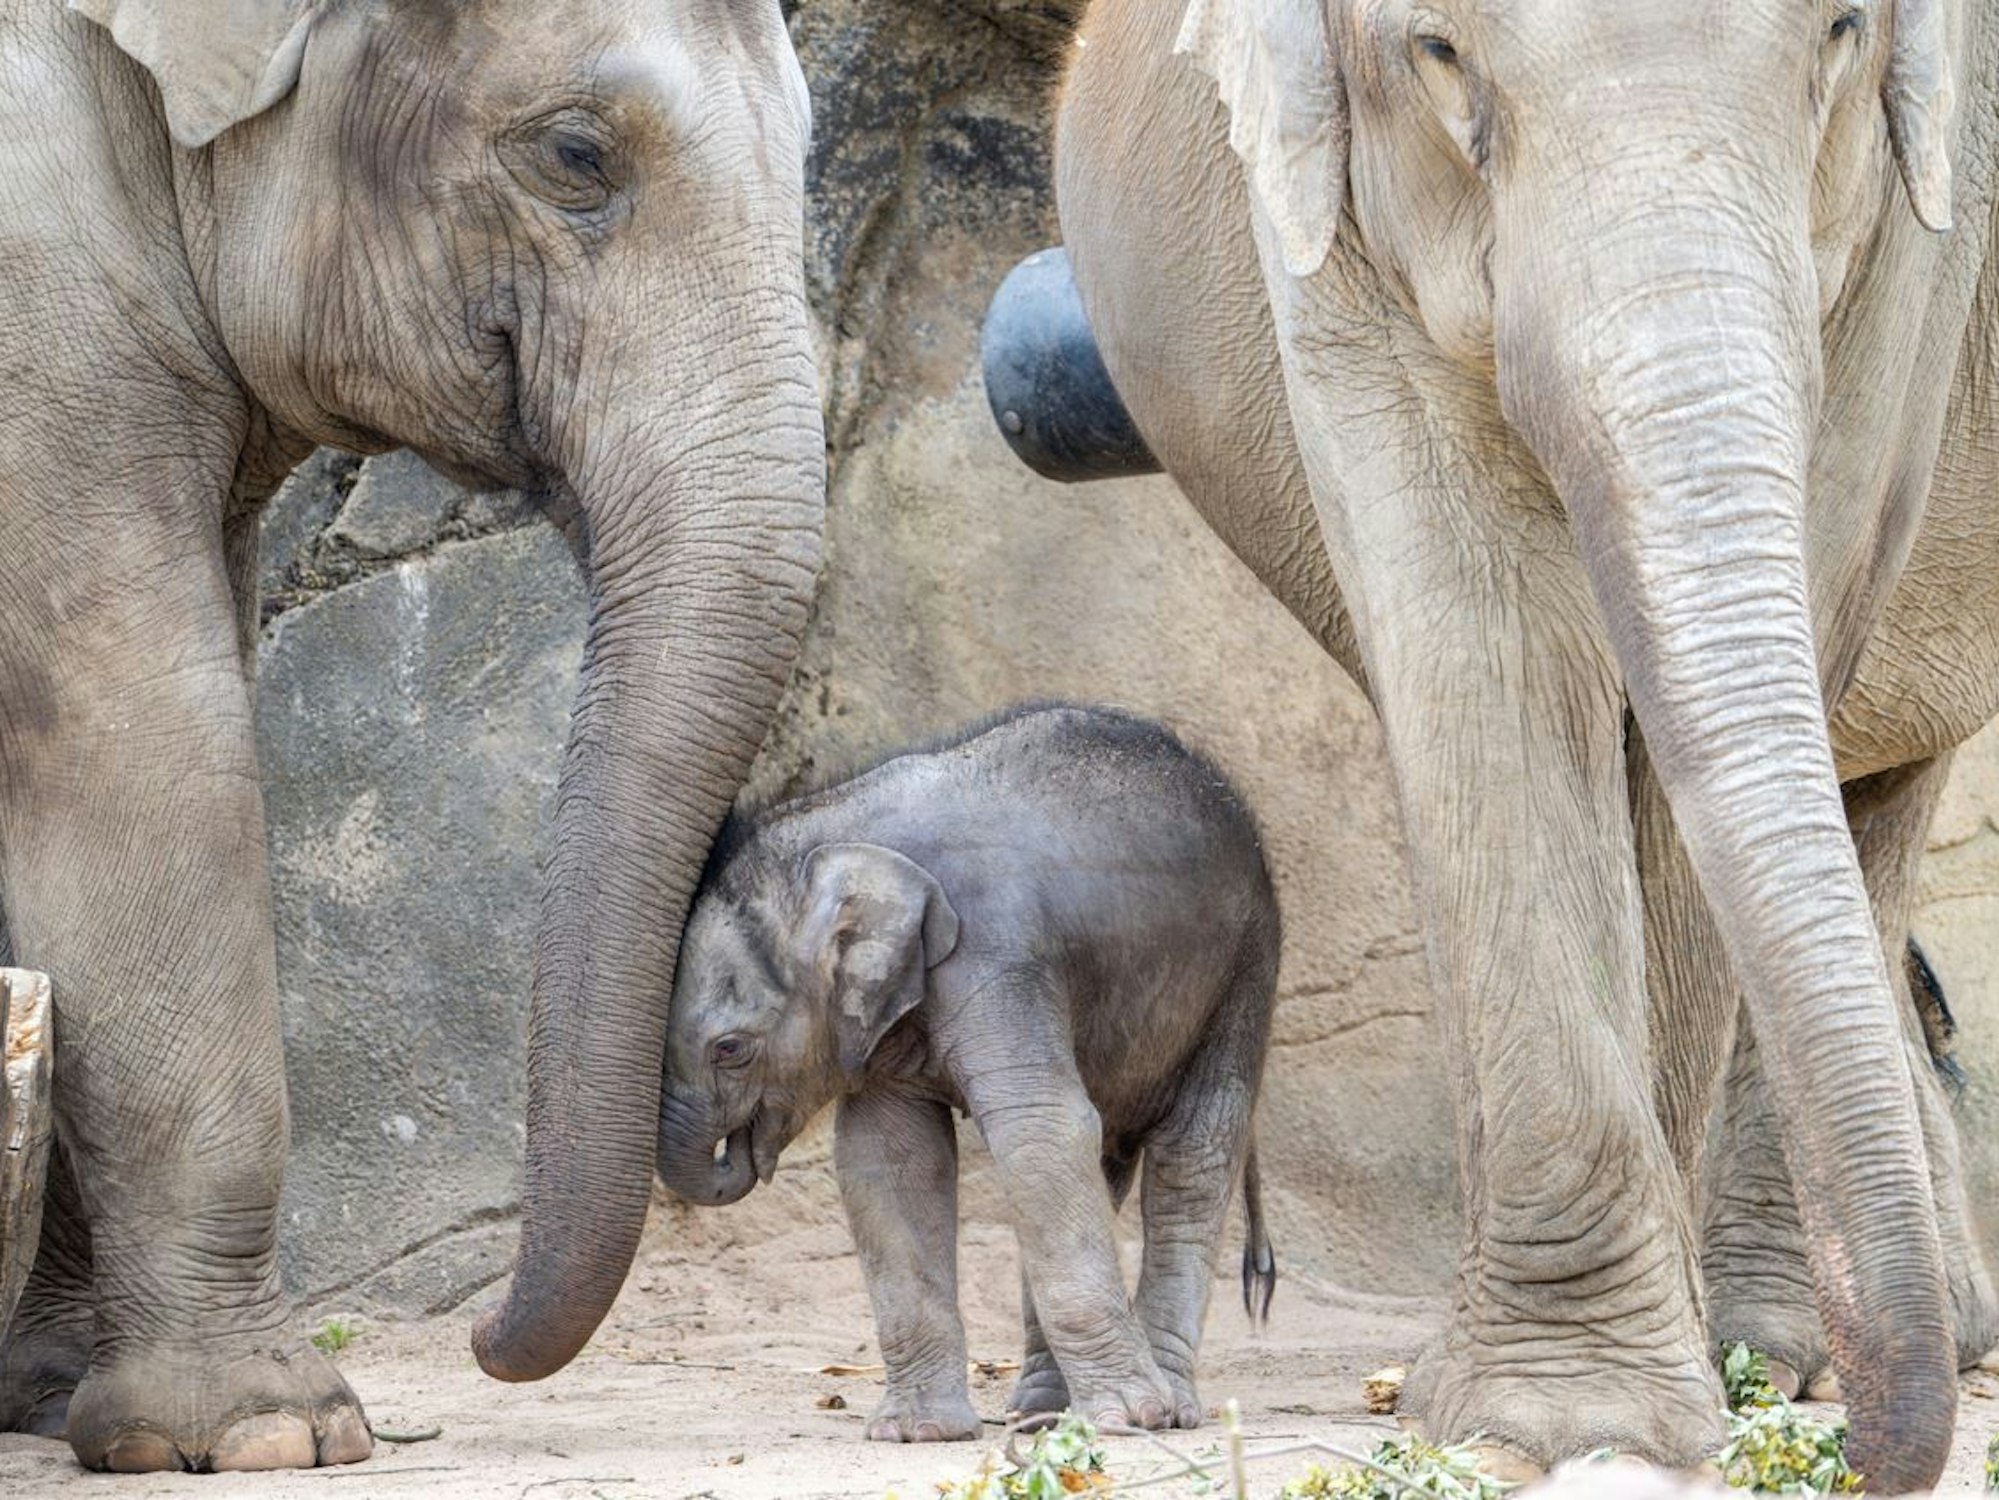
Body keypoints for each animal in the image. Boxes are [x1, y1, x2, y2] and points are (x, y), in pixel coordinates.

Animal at [0, 0, 822, 1473]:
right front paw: (265, 1433)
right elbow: (144, 740)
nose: (483, 1340)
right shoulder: (33, 316)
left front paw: (59, 1398)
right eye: (575, 155)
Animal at [653, 705, 1279, 1441]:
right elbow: (889, 1160)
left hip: (1246, 967)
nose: (736, 1155)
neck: (844, 831)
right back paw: (1043, 1414)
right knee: (1099, 1156)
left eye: (730, 1048)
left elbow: (1040, 1128)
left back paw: (1165, 1410)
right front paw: (917, 1433)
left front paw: (1130, 1420)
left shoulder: (996, 954)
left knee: (1191, 1155)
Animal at [1045, 0, 1999, 1490]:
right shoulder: (1333, 224)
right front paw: (1560, 1420)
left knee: (1873, 800)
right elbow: (1483, 645)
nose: (1863, 1453)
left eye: (1842, 31)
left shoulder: (1917, 238)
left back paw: (1782, 1347)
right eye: (1436, 52)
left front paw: (1633, 1404)